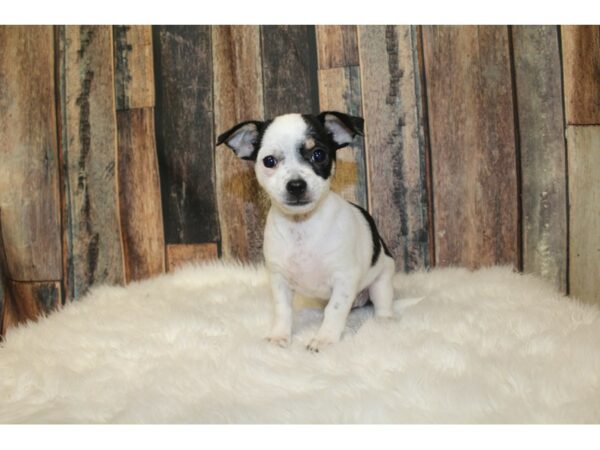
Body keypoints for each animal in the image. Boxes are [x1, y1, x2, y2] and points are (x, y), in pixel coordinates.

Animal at [218, 112, 396, 352]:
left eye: (318, 154)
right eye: (269, 161)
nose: (296, 185)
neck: (301, 225)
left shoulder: (344, 278)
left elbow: (335, 310)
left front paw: (324, 339)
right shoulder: (279, 280)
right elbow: (282, 310)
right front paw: (279, 336)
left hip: (382, 278)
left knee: (383, 300)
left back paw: (384, 321)